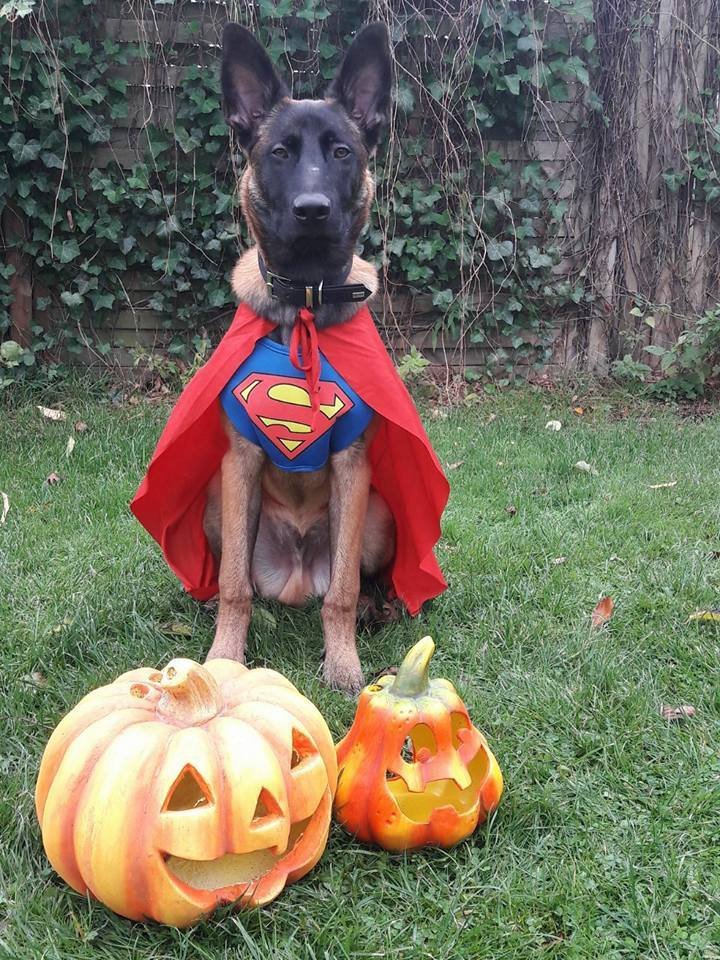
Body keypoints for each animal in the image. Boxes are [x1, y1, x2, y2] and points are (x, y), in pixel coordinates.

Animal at [200, 18, 396, 688]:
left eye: (341, 152)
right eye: (279, 153)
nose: (313, 210)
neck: (305, 304)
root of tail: (295, 577)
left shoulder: (353, 467)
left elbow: (341, 594)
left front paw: (342, 661)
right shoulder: (236, 461)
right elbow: (234, 587)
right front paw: (222, 659)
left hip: (377, 516)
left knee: (356, 583)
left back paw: (375, 611)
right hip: (217, 509)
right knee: (236, 578)